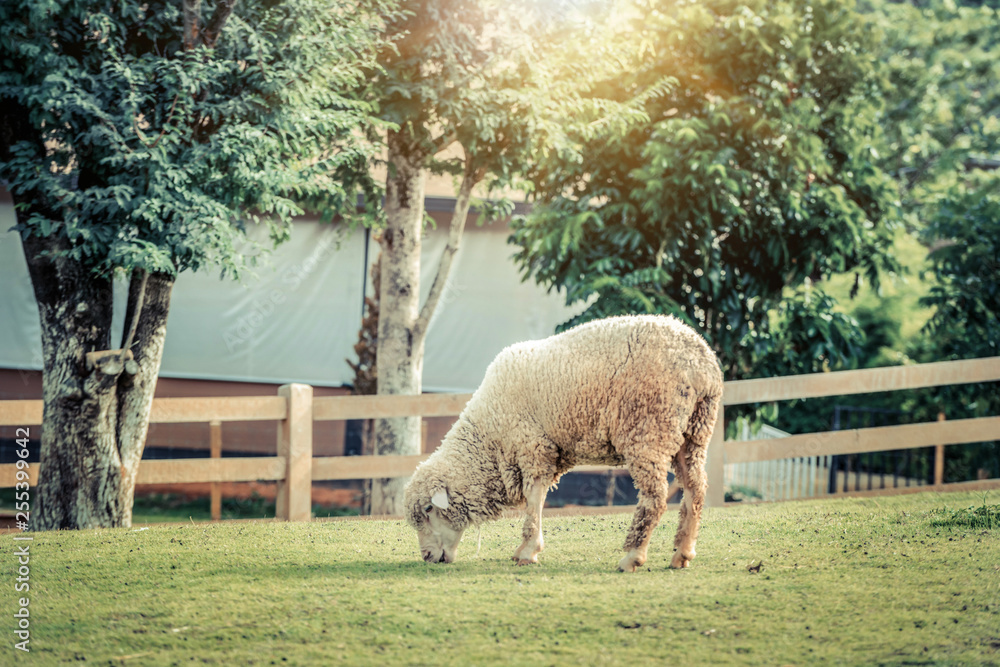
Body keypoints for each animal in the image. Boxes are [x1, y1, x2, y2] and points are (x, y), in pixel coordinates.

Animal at [402, 316, 724, 572]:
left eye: (429, 510)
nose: (427, 557)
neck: (489, 436)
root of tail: (702, 365)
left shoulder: (532, 448)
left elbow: (533, 501)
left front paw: (528, 551)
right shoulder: (547, 452)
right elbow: (538, 499)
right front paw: (525, 548)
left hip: (648, 428)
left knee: (654, 498)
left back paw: (632, 556)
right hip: (693, 434)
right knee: (695, 490)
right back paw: (682, 553)